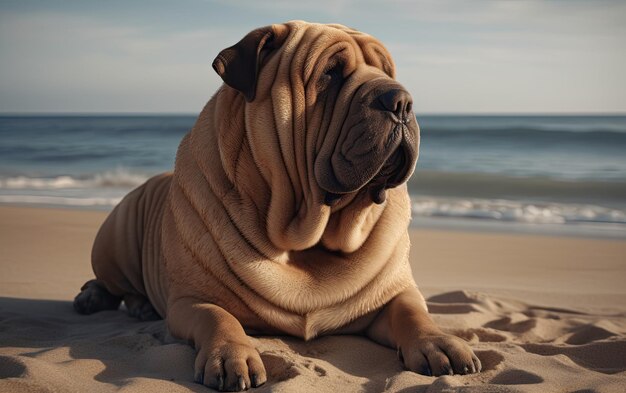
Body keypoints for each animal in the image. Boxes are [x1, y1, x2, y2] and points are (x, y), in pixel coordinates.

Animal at [74, 20, 482, 388]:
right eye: (331, 73)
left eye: (388, 72)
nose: (401, 101)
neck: (309, 234)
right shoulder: (191, 301)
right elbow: (218, 318)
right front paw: (232, 356)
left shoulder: (392, 293)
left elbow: (414, 313)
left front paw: (440, 343)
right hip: (115, 238)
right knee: (111, 282)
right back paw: (101, 299)